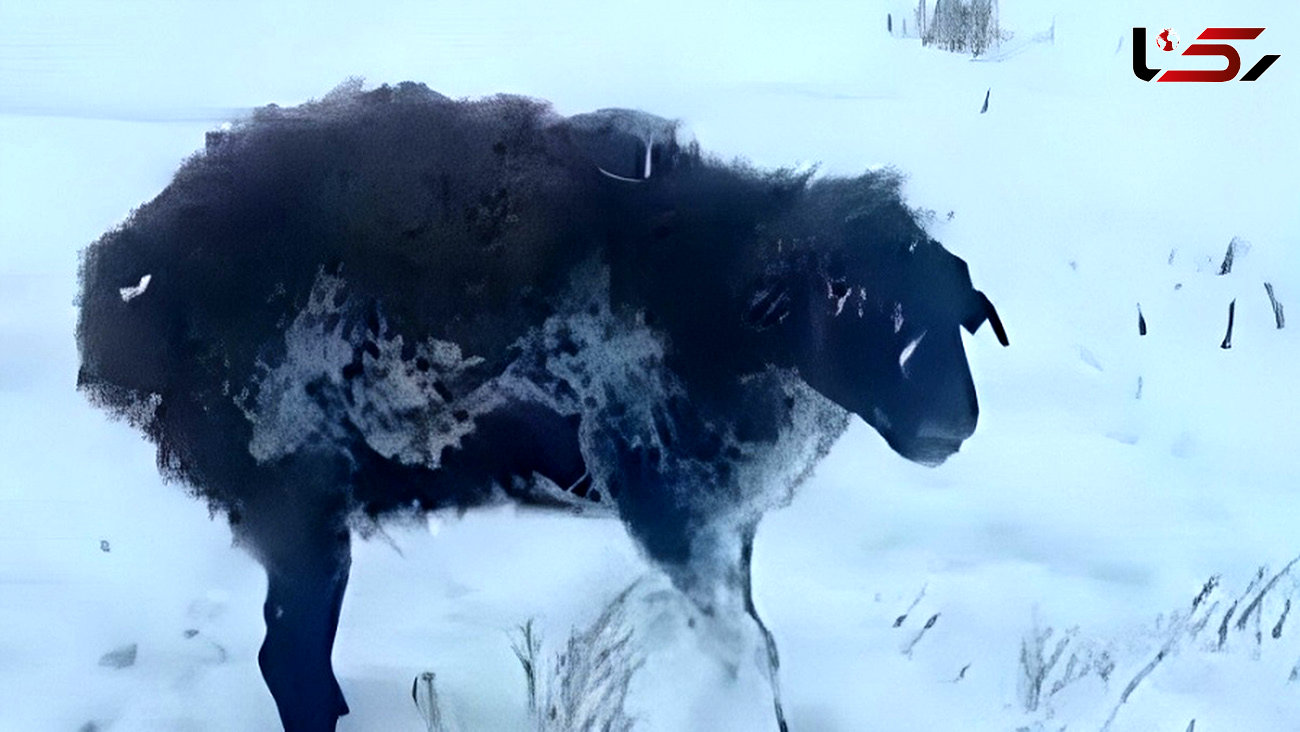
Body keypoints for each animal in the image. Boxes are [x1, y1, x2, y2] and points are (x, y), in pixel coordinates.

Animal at [76, 81, 1008, 732]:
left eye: (954, 315)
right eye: (847, 294)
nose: (948, 427)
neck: (722, 297)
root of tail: (130, 274)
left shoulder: (728, 522)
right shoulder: (672, 503)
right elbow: (749, 651)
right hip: (294, 485)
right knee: (290, 662)